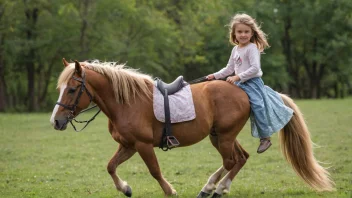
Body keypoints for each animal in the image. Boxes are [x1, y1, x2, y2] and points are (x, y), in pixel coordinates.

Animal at [50, 59, 336, 198]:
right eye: (60, 88)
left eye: (72, 89)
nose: (55, 121)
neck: (127, 101)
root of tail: (241, 89)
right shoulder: (128, 146)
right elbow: (110, 167)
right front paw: (126, 188)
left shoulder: (142, 145)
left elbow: (155, 171)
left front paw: (170, 191)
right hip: (219, 136)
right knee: (240, 158)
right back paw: (215, 188)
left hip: (224, 136)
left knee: (232, 161)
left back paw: (215, 188)